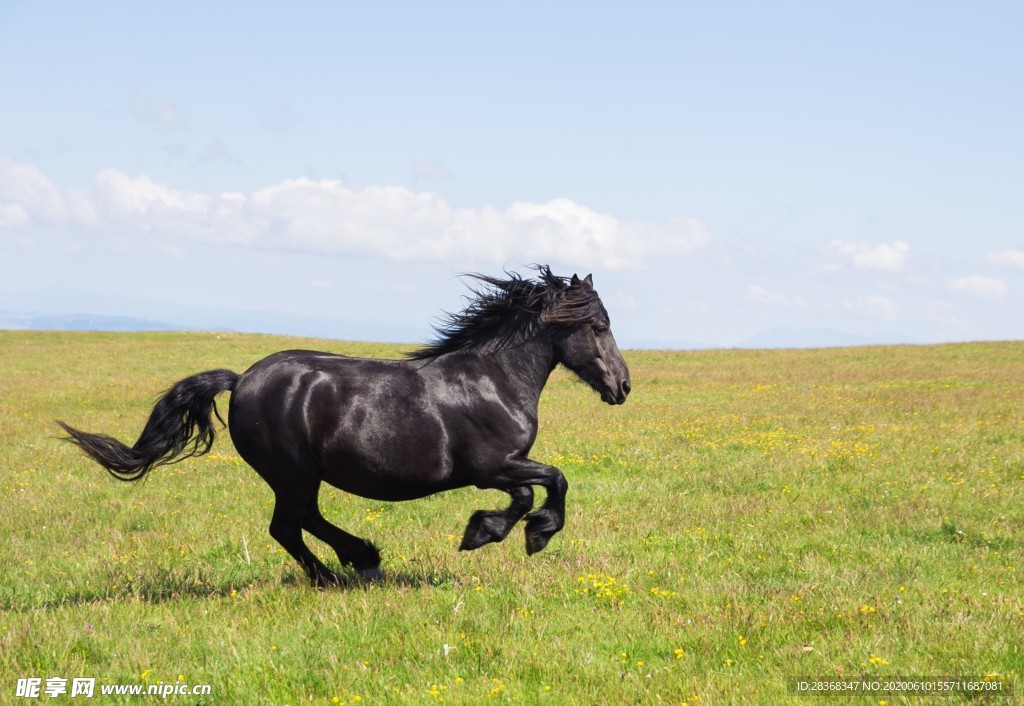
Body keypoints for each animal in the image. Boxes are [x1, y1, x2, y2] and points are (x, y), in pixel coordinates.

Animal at [58, 266, 631, 586]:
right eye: (599, 326)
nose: (623, 387)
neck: (493, 379)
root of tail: (241, 380)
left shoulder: (501, 469)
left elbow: (534, 490)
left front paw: (494, 531)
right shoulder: (493, 466)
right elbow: (550, 483)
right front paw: (512, 534)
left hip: (298, 475)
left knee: (297, 522)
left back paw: (354, 562)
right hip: (293, 471)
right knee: (289, 525)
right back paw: (349, 567)